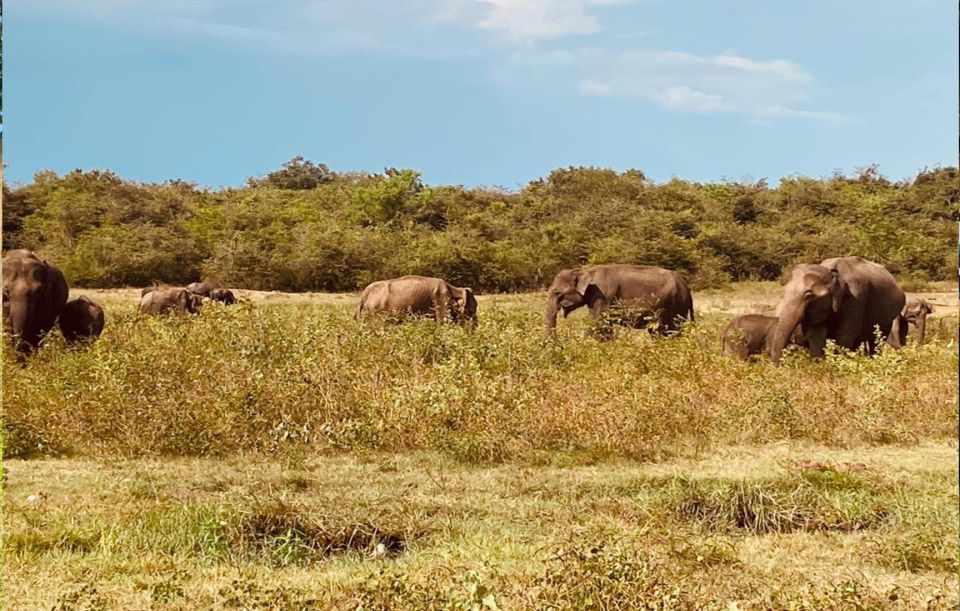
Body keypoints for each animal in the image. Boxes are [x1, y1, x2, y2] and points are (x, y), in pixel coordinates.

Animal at [544, 264, 692, 338]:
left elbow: (597, 321)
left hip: (676, 305)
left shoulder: (603, 294)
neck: (586, 271)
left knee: (673, 330)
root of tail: (686, 285)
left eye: (558, 293)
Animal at [768, 256, 904, 364]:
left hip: (887, 318)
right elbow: (816, 336)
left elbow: (844, 337)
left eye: (809, 296)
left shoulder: (856, 297)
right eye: (785, 291)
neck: (832, 272)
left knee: (876, 341)